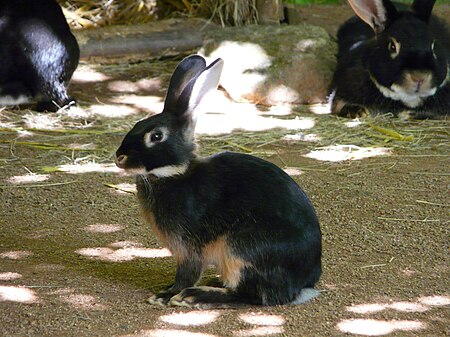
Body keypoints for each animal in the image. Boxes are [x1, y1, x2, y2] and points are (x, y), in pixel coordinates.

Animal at [114, 55, 322, 308]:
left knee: (255, 296)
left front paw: (166, 295)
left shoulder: (188, 247)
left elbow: (187, 273)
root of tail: (304, 282)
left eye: (156, 136)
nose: (119, 157)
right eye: (136, 125)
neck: (176, 174)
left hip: (241, 247)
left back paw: (195, 295)